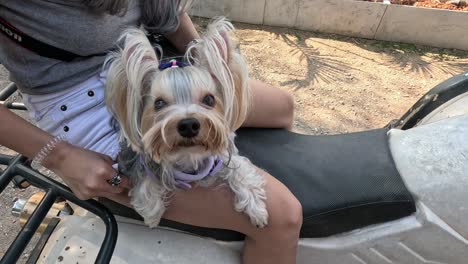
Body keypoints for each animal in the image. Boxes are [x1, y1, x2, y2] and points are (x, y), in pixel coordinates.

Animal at [104, 17, 268, 228]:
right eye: (159, 103)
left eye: (209, 99)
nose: (188, 125)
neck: (188, 155)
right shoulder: (140, 163)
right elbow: (145, 185)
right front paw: (152, 216)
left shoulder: (225, 157)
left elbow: (242, 171)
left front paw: (258, 212)